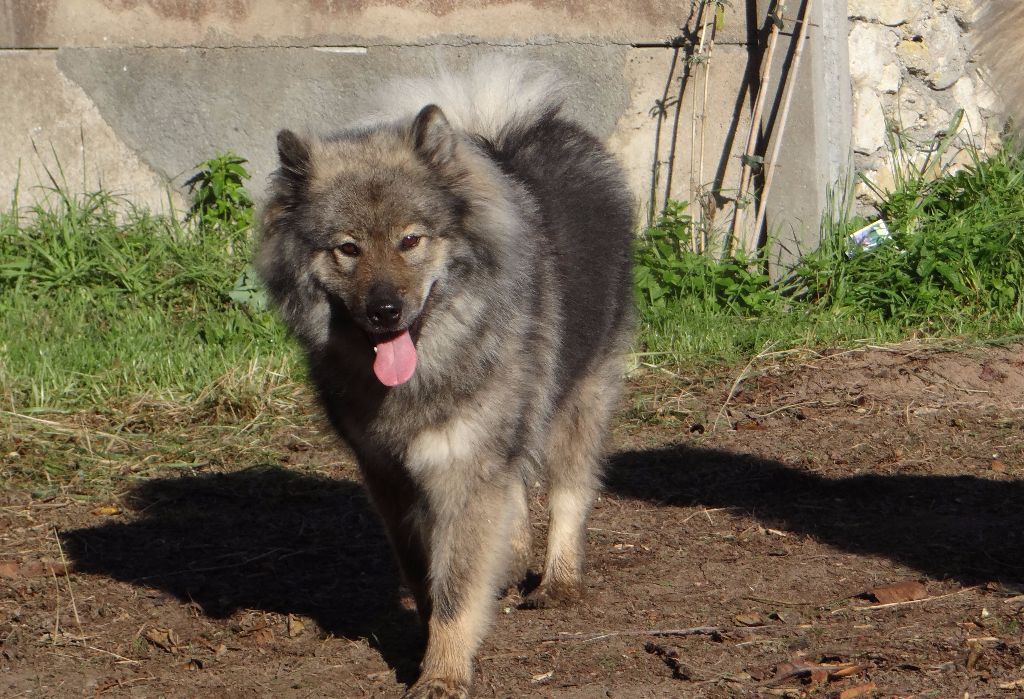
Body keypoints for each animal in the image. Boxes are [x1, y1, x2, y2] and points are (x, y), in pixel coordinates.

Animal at [256, 60, 634, 699]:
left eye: (411, 240)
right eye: (348, 249)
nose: (385, 311)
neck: (426, 368)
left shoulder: (465, 468)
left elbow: (457, 584)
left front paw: (445, 672)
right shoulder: (390, 477)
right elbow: (425, 573)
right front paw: (430, 637)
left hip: (578, 398)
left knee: (569, 491)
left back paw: (558, 581)